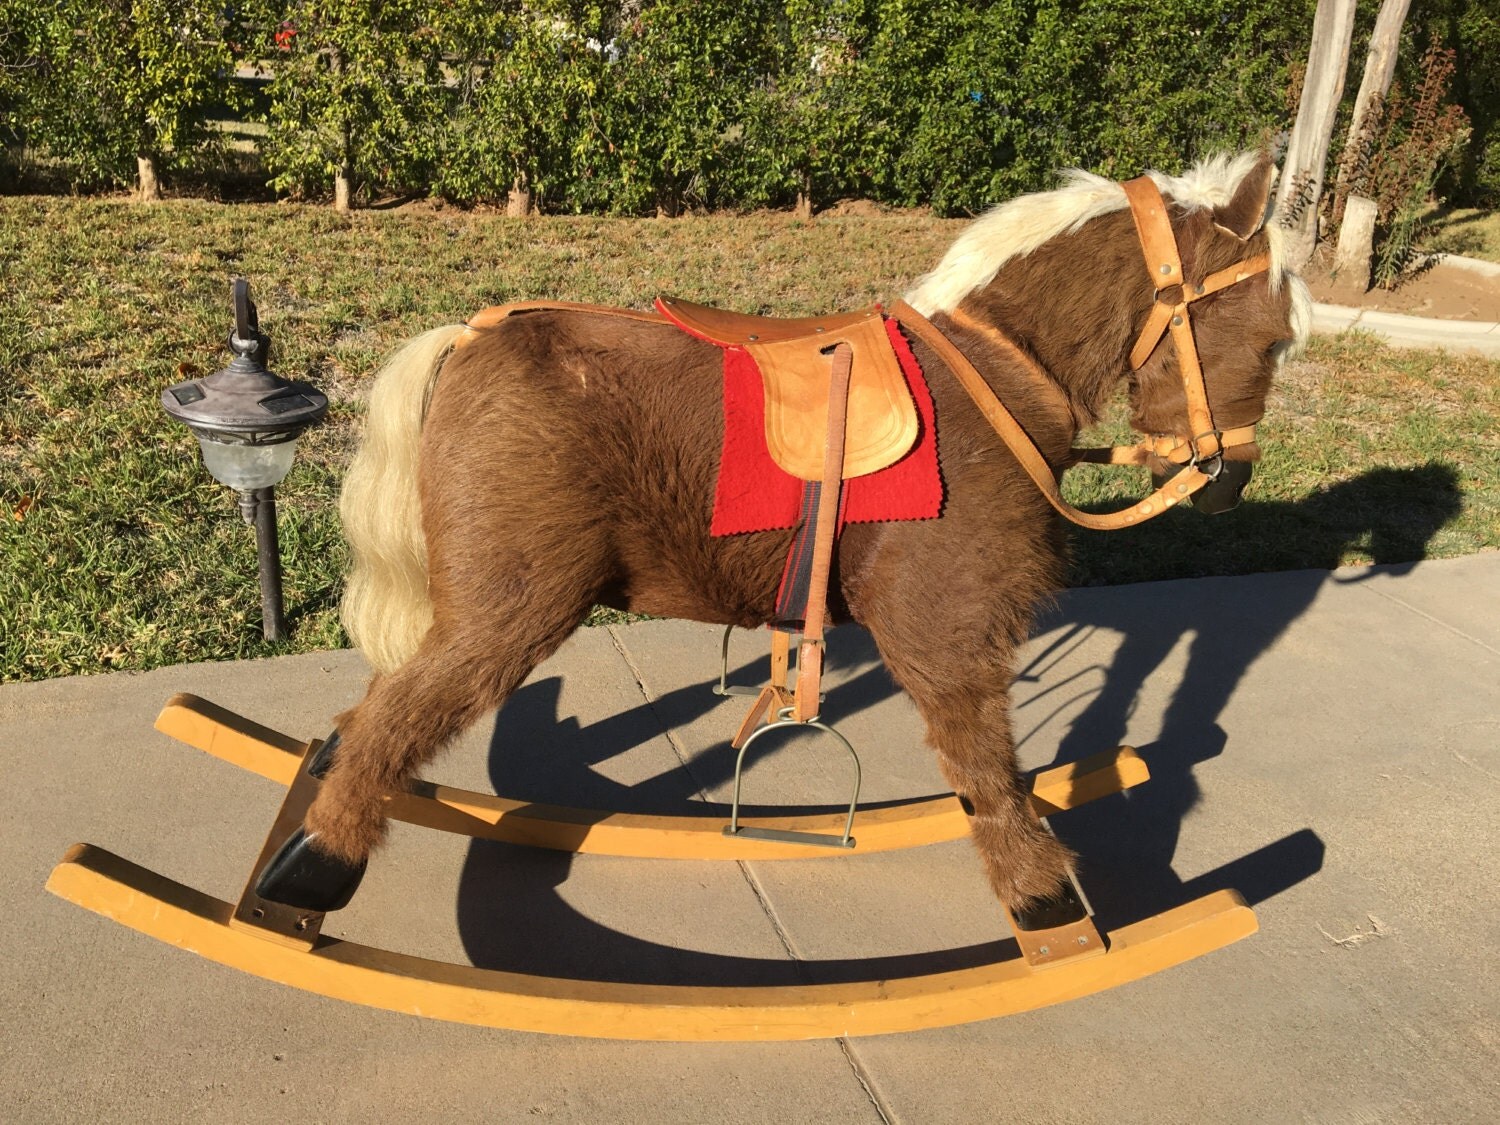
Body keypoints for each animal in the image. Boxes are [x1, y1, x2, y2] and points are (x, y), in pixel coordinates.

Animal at [263, 149, 1311, 920]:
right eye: (1270, 338)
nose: (1231, 483)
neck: (995, 375)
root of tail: (471, 336)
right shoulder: (947, 630)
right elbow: (987, 765)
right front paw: (1043, 896)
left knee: (371, 714)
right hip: (510, 607)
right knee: (390, 722)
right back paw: (312, 864)